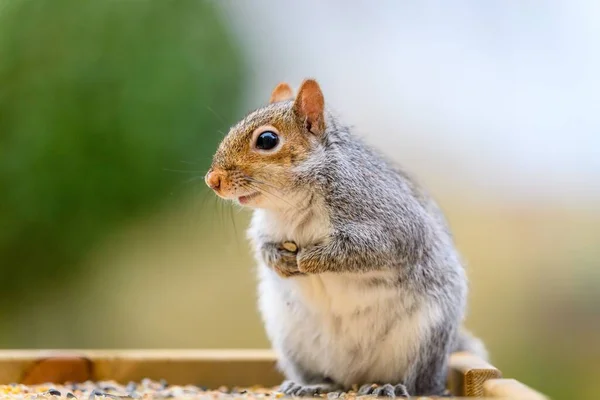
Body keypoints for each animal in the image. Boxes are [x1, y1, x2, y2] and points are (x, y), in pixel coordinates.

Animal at [206, 79, 488, 396]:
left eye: (267, 140)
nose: (212, 180)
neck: (292, 203)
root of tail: (358, 376)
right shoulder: (266, 226)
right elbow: (262, 247)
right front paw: (279, 261)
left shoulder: (391, 221)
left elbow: (371, 248)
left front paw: (310, 260)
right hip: (292, 339)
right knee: (330, 378)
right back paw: (313, 385)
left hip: (426, 336)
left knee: (419, 384)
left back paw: (390, 387)